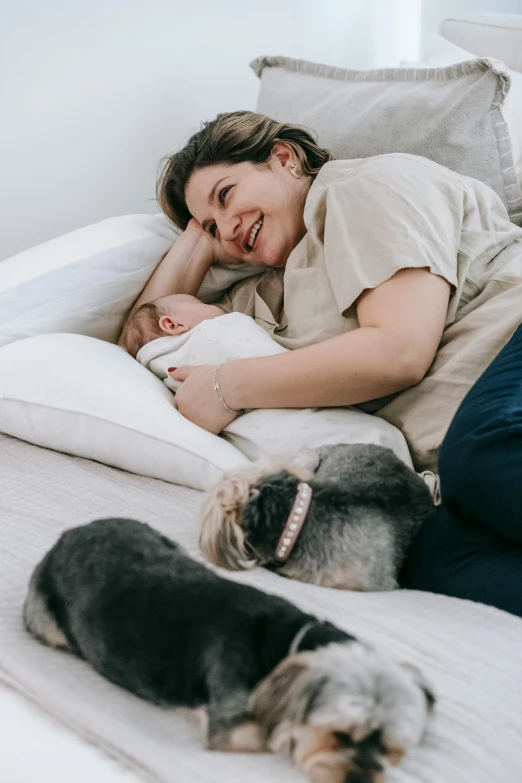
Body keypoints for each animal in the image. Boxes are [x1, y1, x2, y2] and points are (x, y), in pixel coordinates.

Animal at [23, 516, 434, 780]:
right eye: (339, 735)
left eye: (392, 749)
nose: (360, 780)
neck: (290, 645)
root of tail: (70, 533)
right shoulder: (229, 724)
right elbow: (271, 735)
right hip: (46, 621)